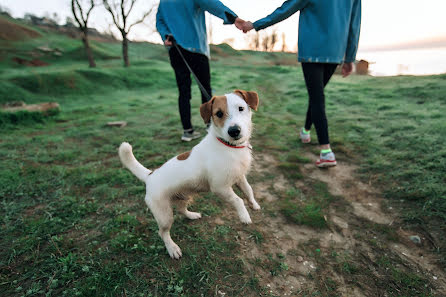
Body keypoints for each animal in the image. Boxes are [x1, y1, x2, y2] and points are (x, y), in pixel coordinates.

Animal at [118, 89, 262, 258]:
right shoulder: (220, 187)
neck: (228, 146)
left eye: (241, 108)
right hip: (164, 215)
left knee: (181, 210)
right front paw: (244, 216)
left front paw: (254, 205)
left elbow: (248, 190)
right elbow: (238, 200)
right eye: (219, 114)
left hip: (183, 196)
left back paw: (192, 215)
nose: (234, 131)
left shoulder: (239, 177)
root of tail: (150, 175)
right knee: (163, 232)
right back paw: (172, 248)